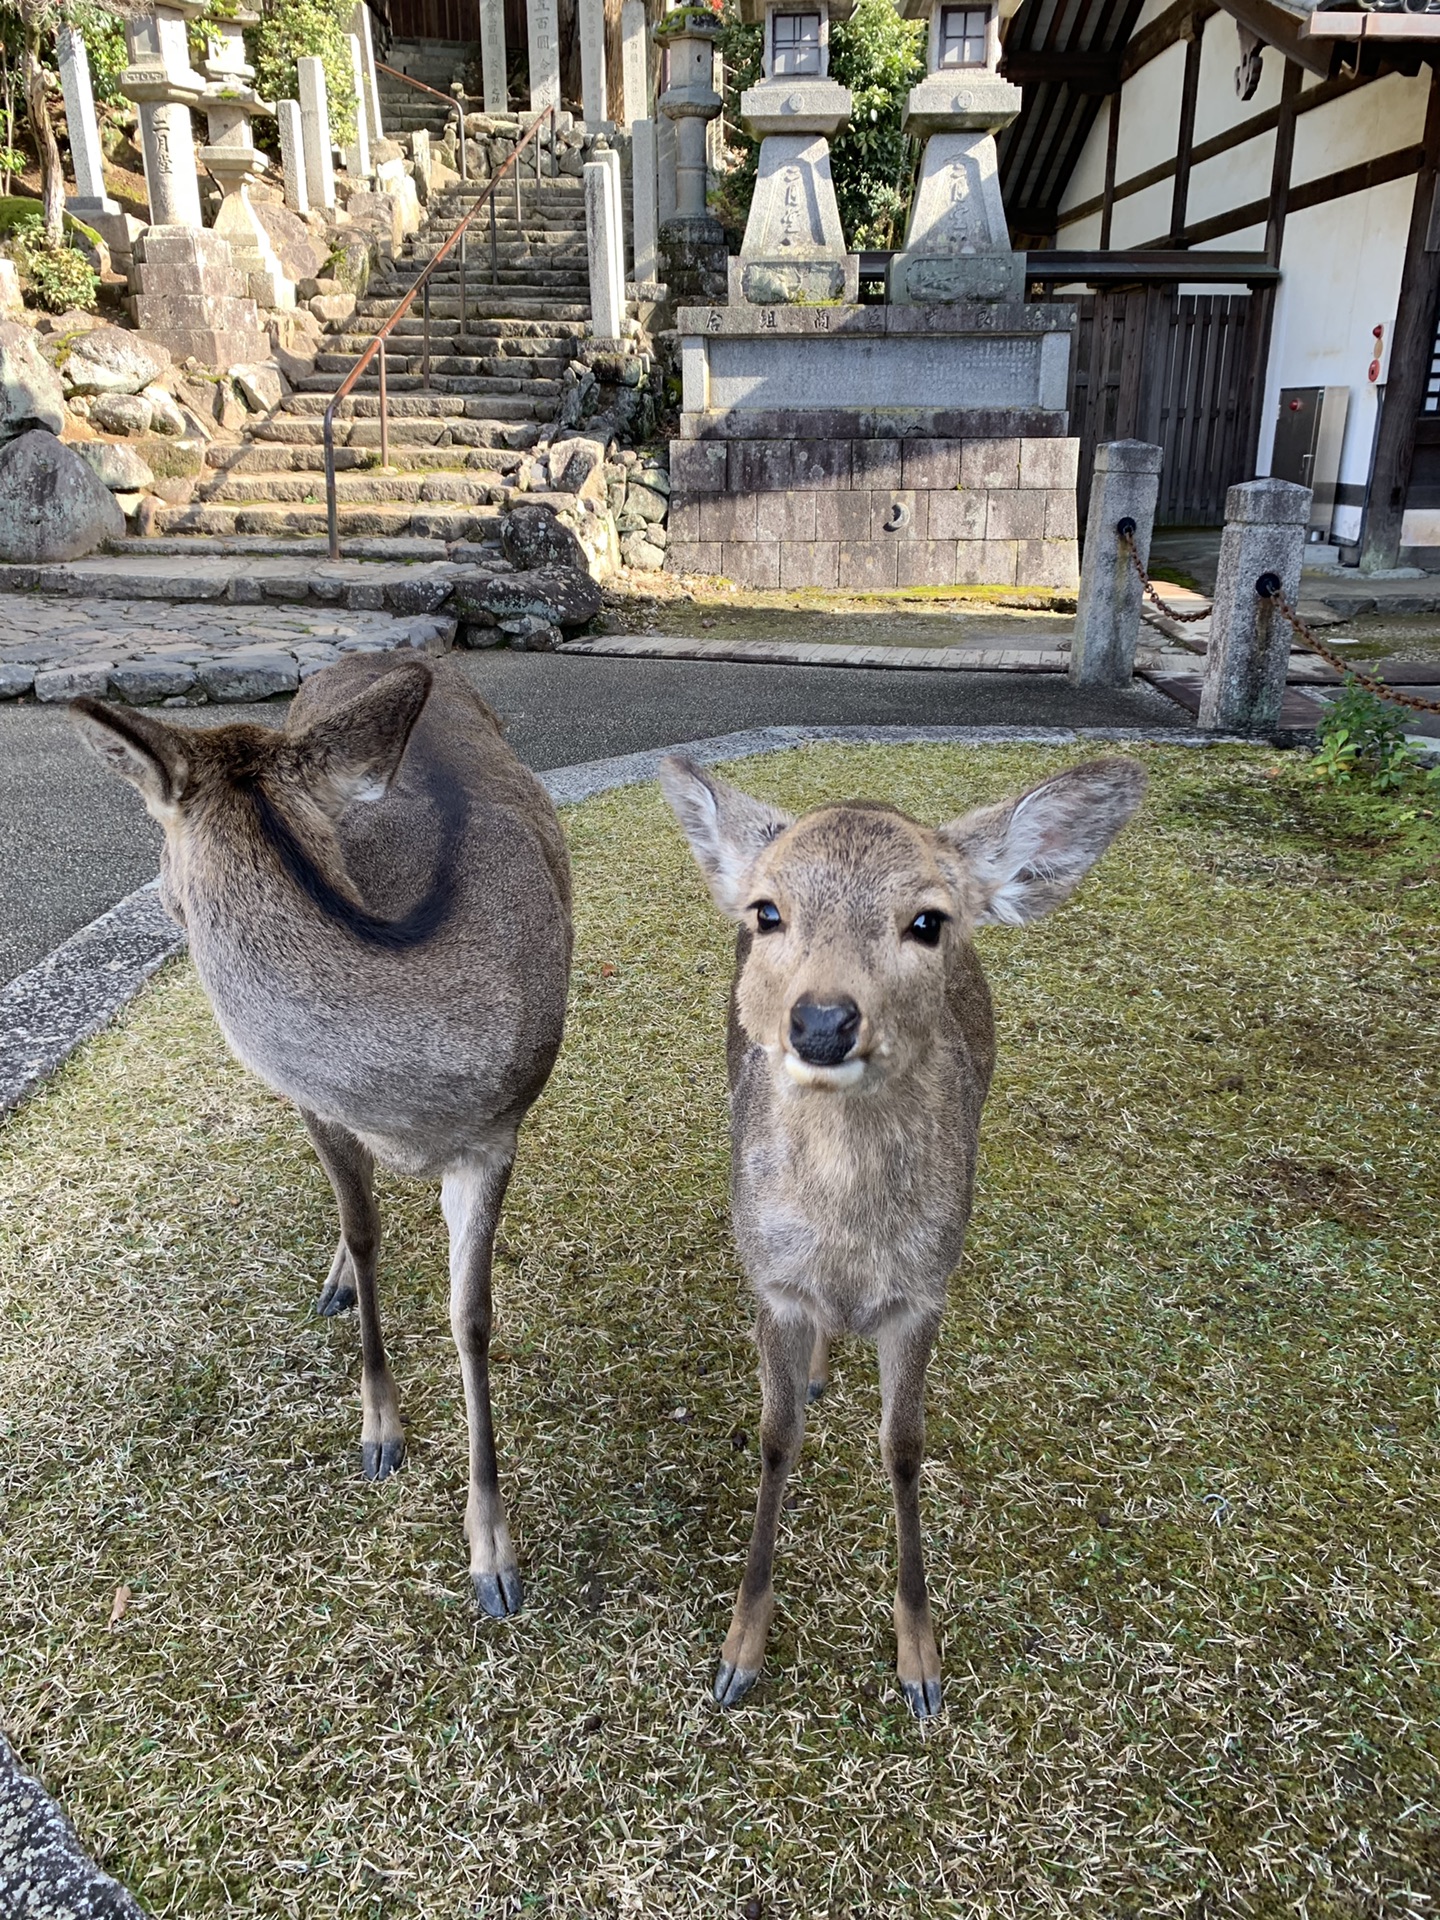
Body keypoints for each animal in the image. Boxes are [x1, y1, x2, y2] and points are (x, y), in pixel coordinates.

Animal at [70, 660, 572, 1620]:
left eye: (160, 841)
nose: (159, 893)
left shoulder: (499, 1131)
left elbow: (471, 1317)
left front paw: (493, 1555)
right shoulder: (315, 1105)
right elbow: (366, 1232)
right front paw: (381, 1431)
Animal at [660, 748, 1144, 1712]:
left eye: (928, 920)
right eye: (768, 911)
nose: (821, 1020)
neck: (851, 1250)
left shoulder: (925, 1289)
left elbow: (907, 1449)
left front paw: (920, 1660)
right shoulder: (769, 1278)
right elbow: (774, 1440)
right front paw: (739, 1653)